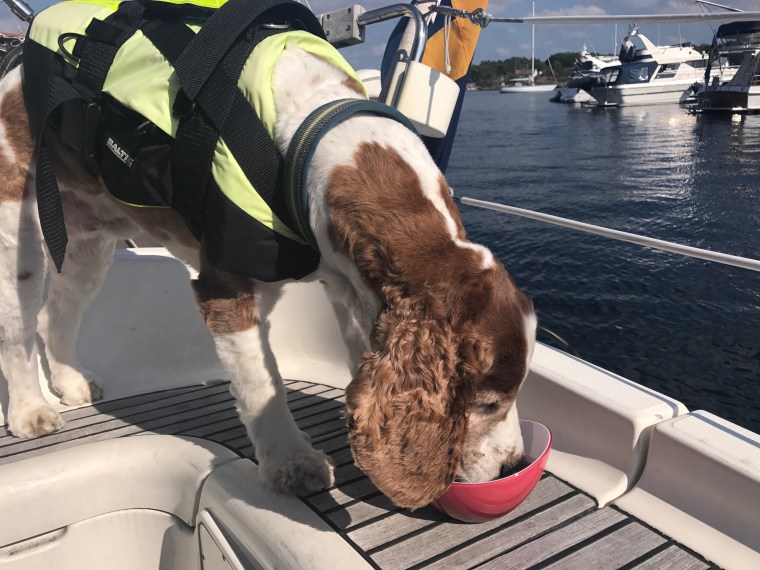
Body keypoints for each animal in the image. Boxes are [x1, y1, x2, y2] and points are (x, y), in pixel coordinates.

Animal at [0, 40, 536, 509]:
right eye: (488, 402)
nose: (514, 464)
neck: (309, 132)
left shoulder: (350, 287)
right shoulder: (225, 290)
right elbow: (263, 383)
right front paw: (291, 462)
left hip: (88, 241)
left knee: (54, 315)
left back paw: (70, 382)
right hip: (18, 233)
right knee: (19, 330)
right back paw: (32, 411)